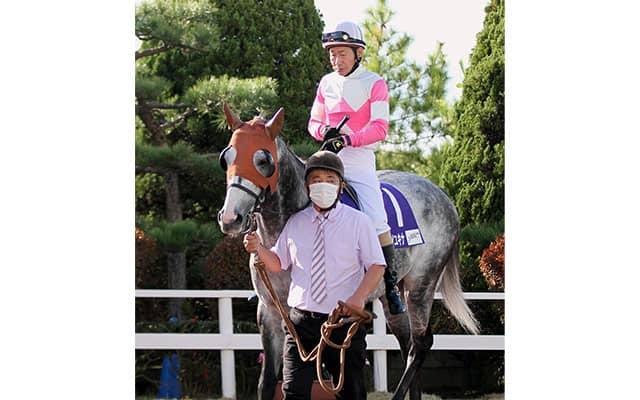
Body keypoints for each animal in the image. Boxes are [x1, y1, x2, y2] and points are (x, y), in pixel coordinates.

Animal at [217, 103, 479, 400]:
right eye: (226, 157)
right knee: (408, 344)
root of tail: (444, 197)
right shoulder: (270, 310)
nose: (231, 218)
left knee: (421, 344)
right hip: (393, 297)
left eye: (263, 159)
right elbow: (269, 381)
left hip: (421, 286)